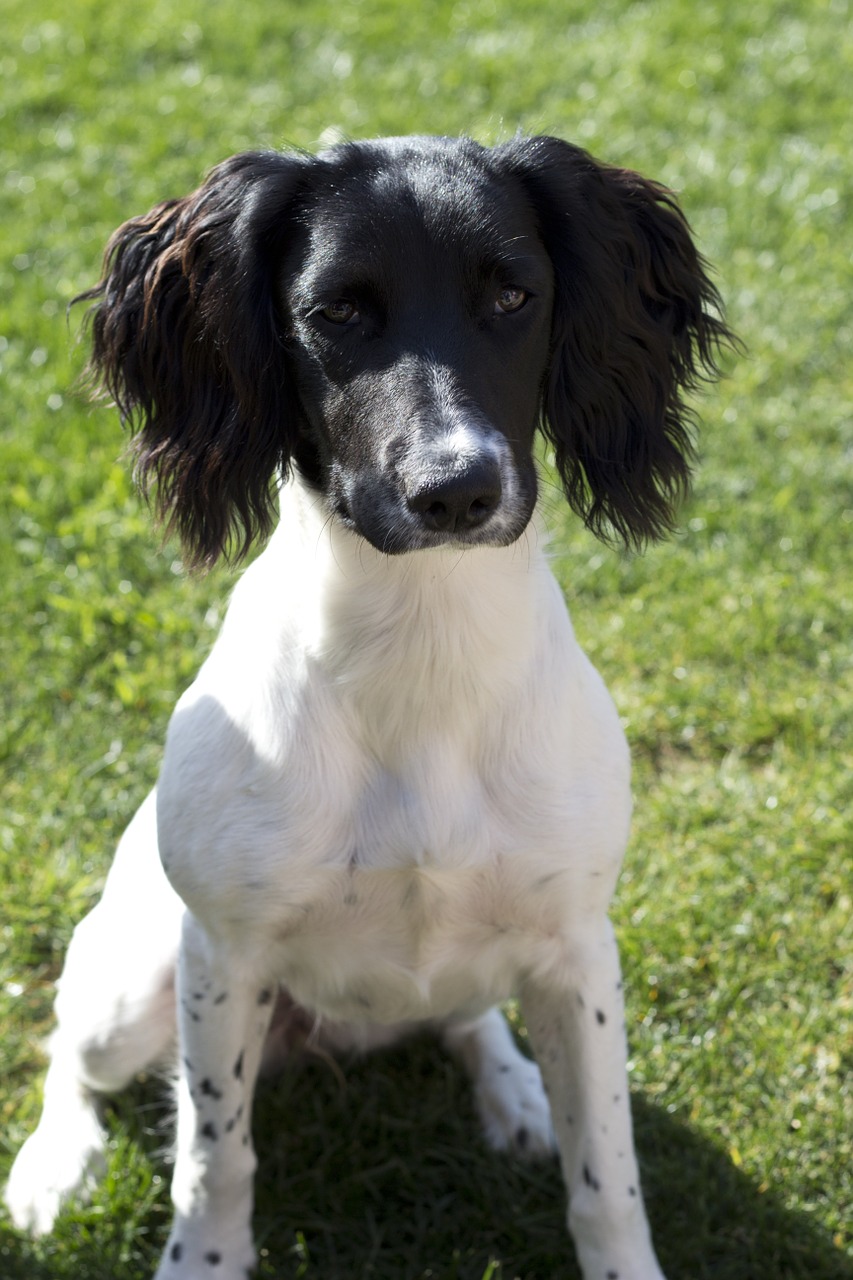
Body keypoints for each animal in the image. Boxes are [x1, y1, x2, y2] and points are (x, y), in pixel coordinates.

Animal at [4, 135, 722, 1274]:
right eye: (336, 311)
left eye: (512, 294)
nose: (456, 489)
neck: (419, 656)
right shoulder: (223, 955)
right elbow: (213, 1159)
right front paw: (201, 1256)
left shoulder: (578, 950)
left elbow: (606, 1173)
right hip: (133, 982)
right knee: (73, 1054)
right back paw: (52, 1166)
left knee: (470, 1018)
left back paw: (515, 1086)